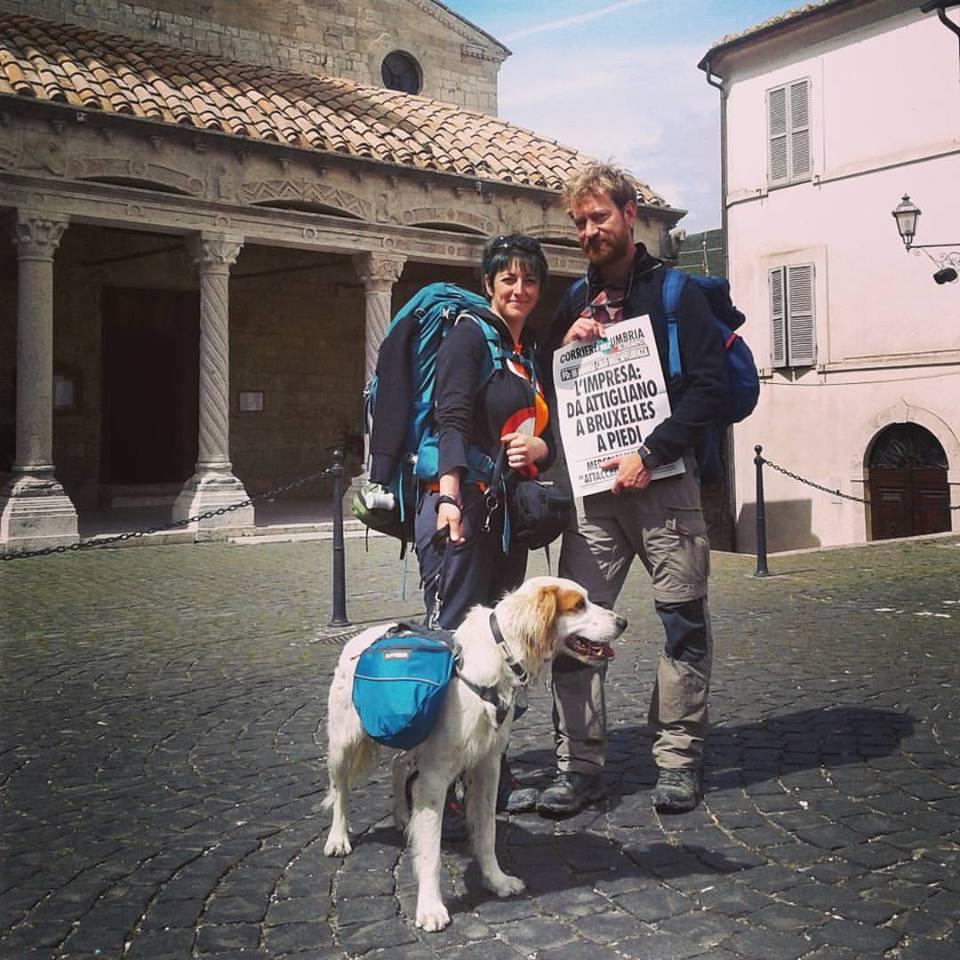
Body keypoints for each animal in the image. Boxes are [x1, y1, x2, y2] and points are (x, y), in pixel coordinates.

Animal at [318, 576, 628, 928]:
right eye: (578, 605)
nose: (622, 622)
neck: (499, 658)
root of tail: (358, 639)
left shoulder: (488, 765)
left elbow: (487, 830)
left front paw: (497, 880)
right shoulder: (435, 777)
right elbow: (431, 852)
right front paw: (430, 907)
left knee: (397, 766)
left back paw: (403, 816)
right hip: (343, 744)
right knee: (340, 791)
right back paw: (338, 838)